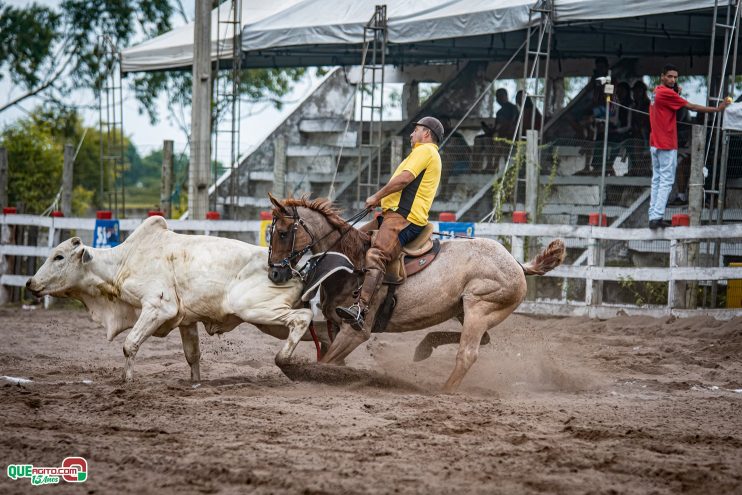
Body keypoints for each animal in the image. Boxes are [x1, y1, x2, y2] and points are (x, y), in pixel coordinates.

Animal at [26, 216, 314, 384]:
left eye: (59, 257)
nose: (30, 283)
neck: (124, 262)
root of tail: (295, 269)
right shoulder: (187, 321)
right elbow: (192, 355)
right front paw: (195, 383)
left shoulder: (158, 307)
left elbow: (129, 344)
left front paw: (127, 380)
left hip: (257, 311)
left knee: (302, 318)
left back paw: (284, 361)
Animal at [268, 196, 564, 394]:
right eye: (270, 232)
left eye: (282, 233)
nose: (275, 274)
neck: (350, 263)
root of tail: (517, 264)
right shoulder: (335, 325)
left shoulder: (355, 331)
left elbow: (327, 362)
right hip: (467, 311)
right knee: (483, 340)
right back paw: (425, 347)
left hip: (479, 308)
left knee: (468, 354)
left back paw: (444, 390)